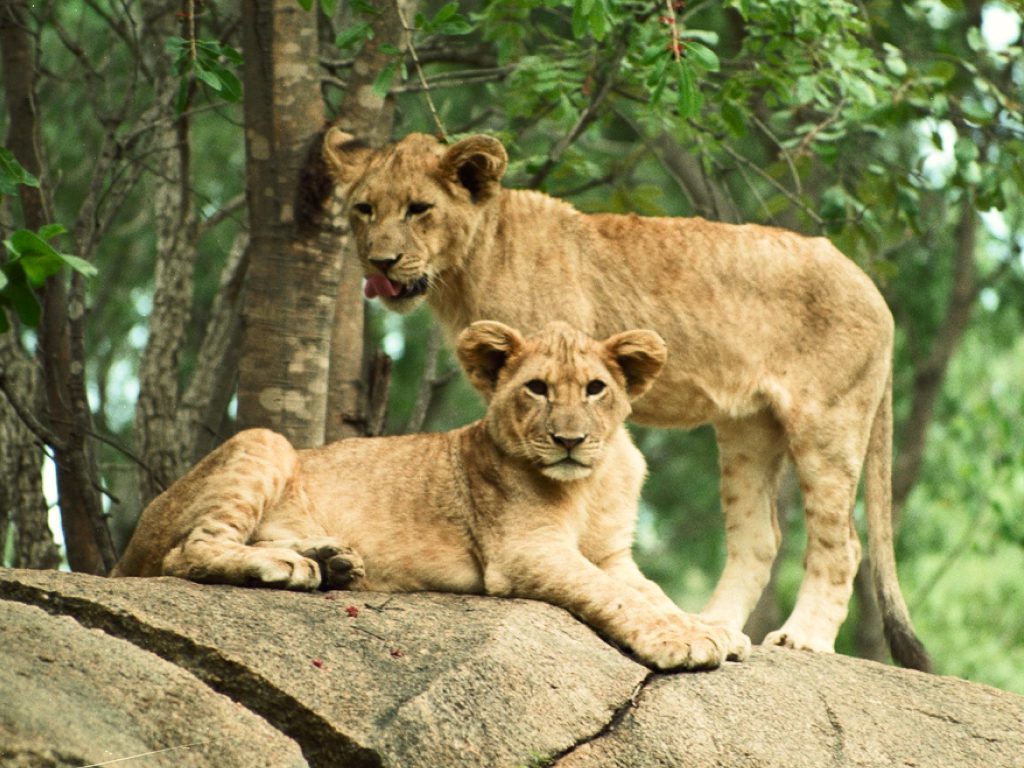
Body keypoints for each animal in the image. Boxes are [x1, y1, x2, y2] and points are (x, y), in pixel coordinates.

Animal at [113, 321, 750, 671]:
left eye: (596, 389)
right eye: (537, 389)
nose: (570, 440)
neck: (589, 484)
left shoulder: (614, 553)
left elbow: (652, 593)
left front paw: (712, 628)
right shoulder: (524, 551)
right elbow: (612, 596)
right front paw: (682, 640)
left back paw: (331, 562)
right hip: (263, 442)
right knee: (187, 552)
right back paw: (286, 566)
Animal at [317, 129, 931, 672]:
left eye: (419, 209)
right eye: (365, 209)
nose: (380, 262)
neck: (473, 260)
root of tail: (871, 285)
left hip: (828, 420)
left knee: (842, 542)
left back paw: (803, 639)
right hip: (748, 428)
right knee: (760, 538)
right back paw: (714, 625)